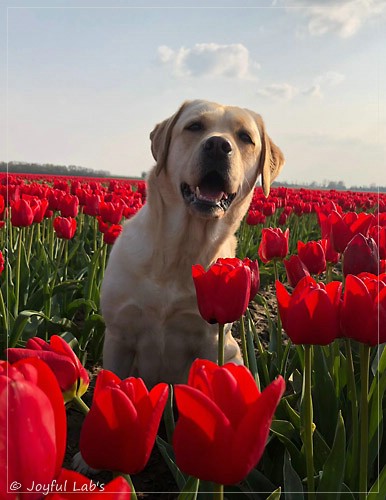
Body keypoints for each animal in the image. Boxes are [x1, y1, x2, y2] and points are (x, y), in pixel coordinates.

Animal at [101, 98, 284, 386]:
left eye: (245, 137)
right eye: (194, 126)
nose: (218, 145)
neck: (181, 249)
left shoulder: (211, 339)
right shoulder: (119, 335)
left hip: (233, 354)